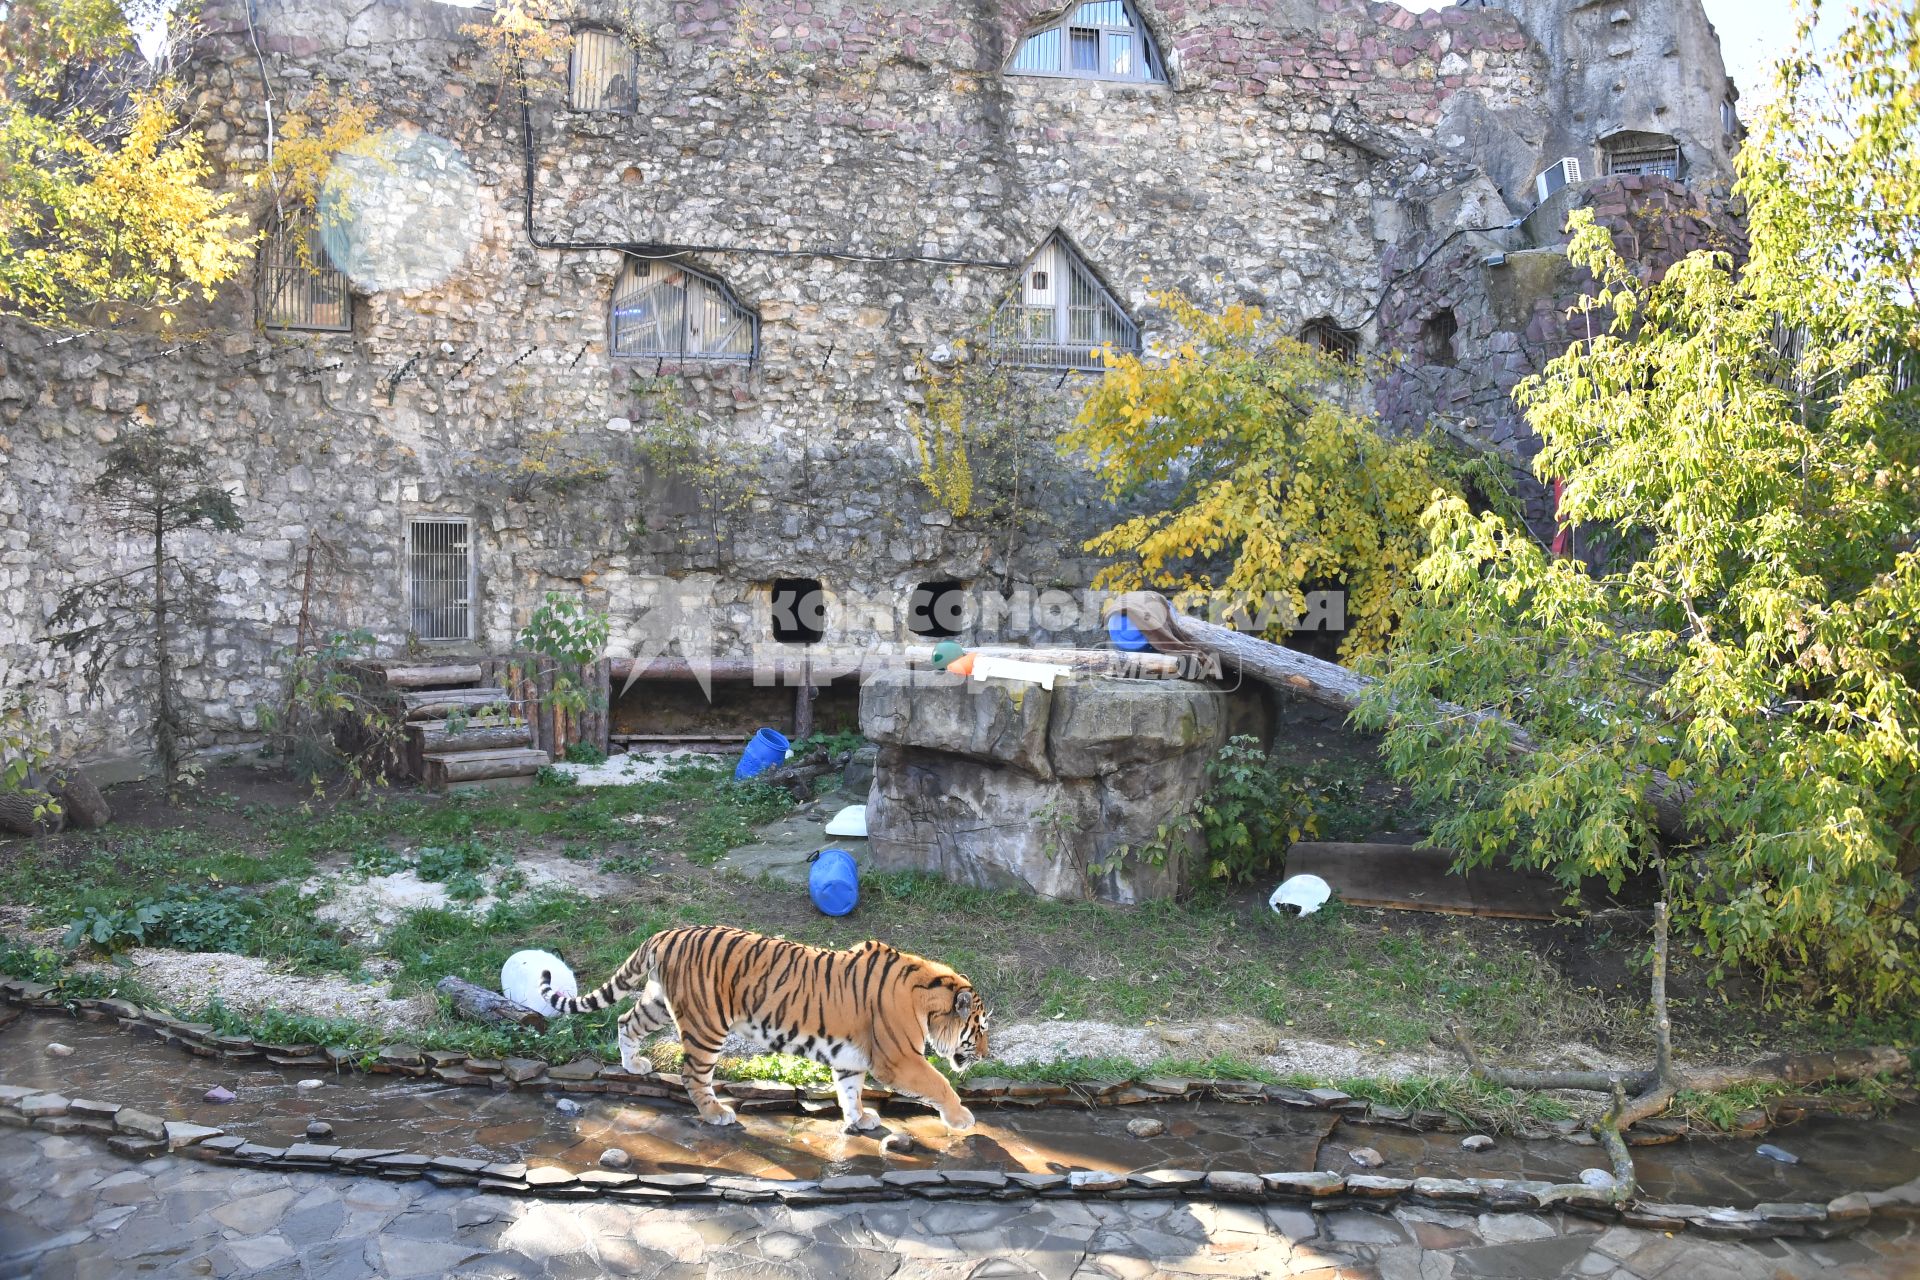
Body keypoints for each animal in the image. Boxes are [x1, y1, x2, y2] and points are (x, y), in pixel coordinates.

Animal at [541, 924, 990, 1136]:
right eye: (980, 1028)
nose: (986, 1054)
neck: (926, 999)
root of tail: (667, 933)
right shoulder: (898, 1060)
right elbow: (939, 1084)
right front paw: (962, 1118)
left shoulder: (850, 1060)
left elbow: (849, 1091)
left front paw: (859, 1119)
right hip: (706, 1026)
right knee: (692, 1075)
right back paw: (716, 1114)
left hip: (657, 1004)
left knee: (624, 1021)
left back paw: (633, 1065)